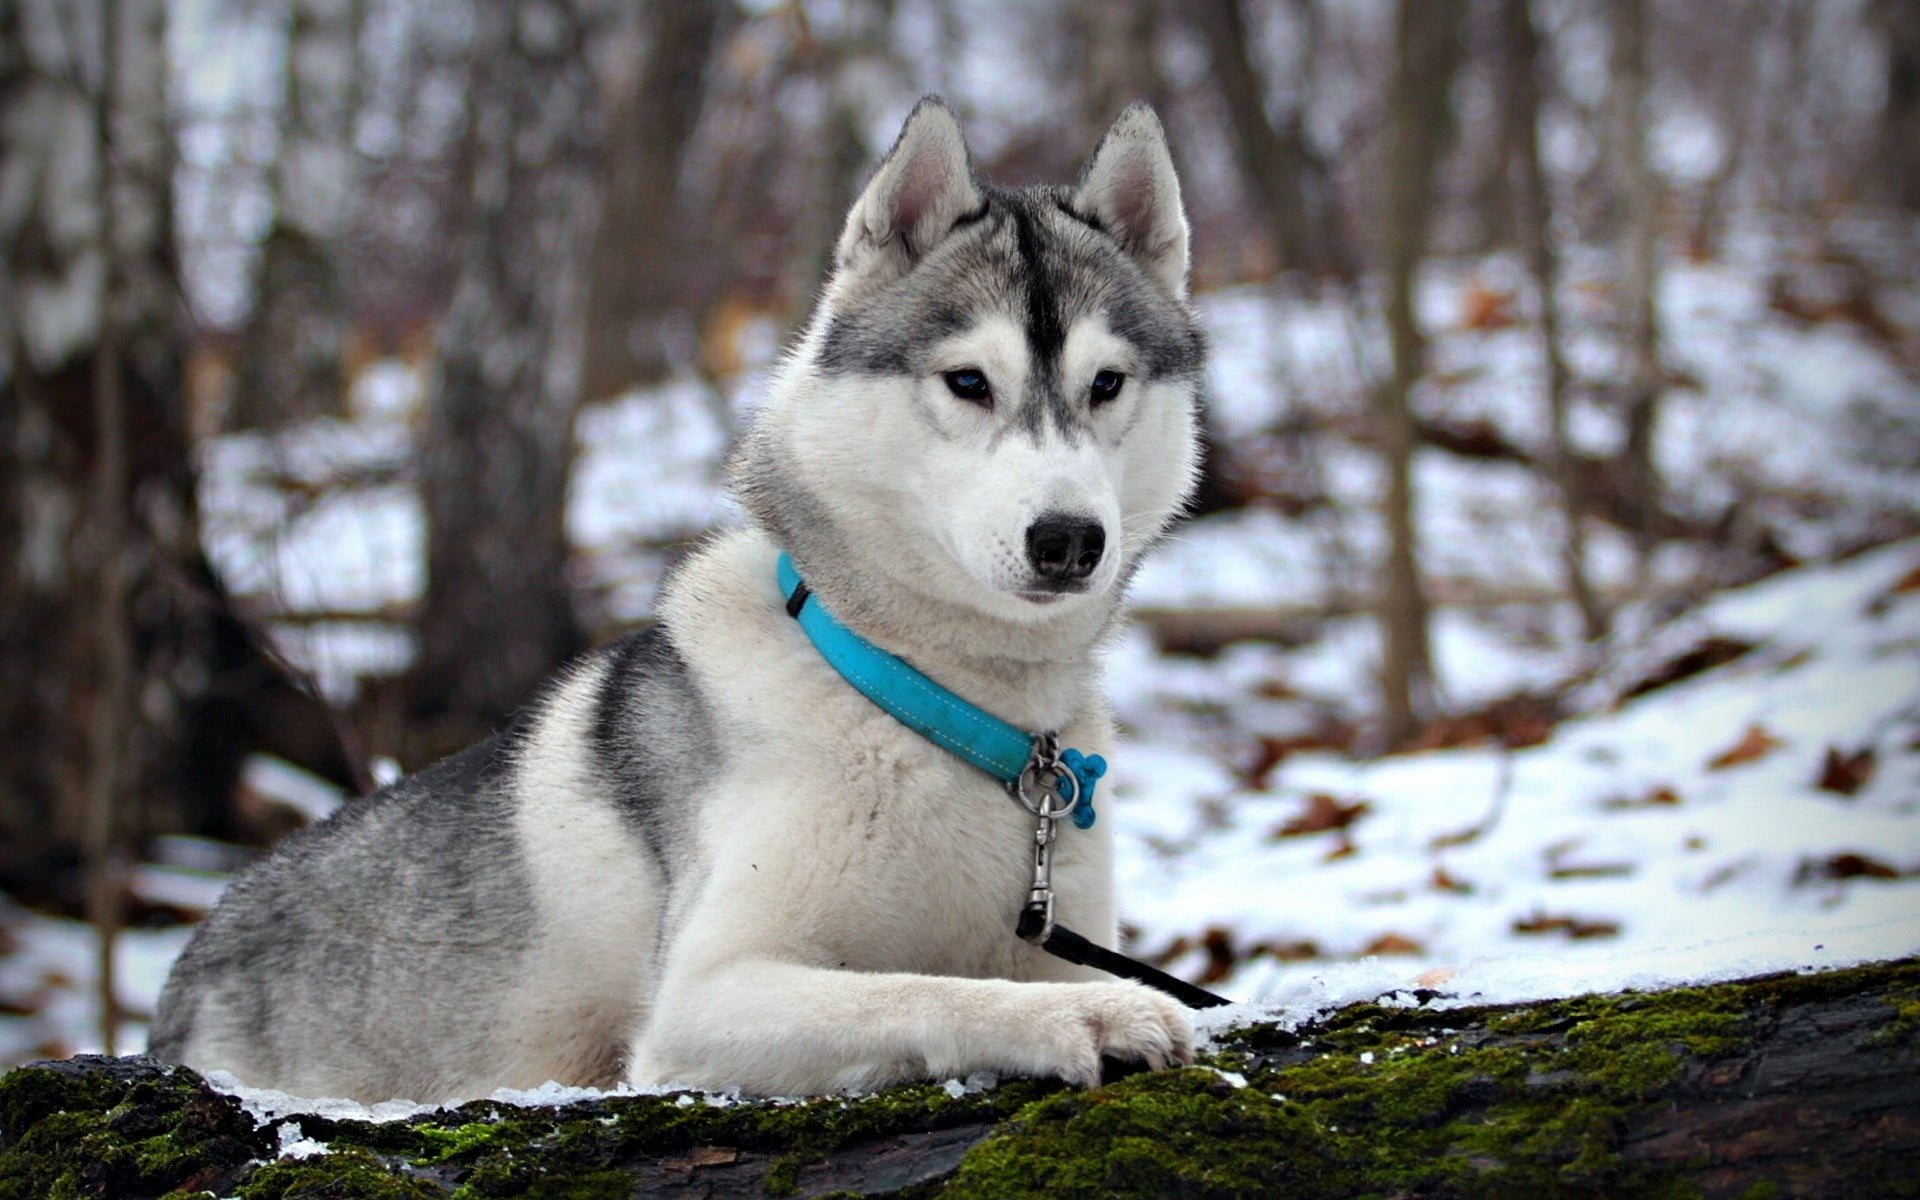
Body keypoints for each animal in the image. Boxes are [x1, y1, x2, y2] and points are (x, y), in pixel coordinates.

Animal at [151, 96, 1208, 1102]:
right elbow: (930, 990)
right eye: (968, 382)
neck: (948, 714)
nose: (1069, 539)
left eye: (1106, 384)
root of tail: (185, 974)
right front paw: (1092, 1018)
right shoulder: (706, 997)